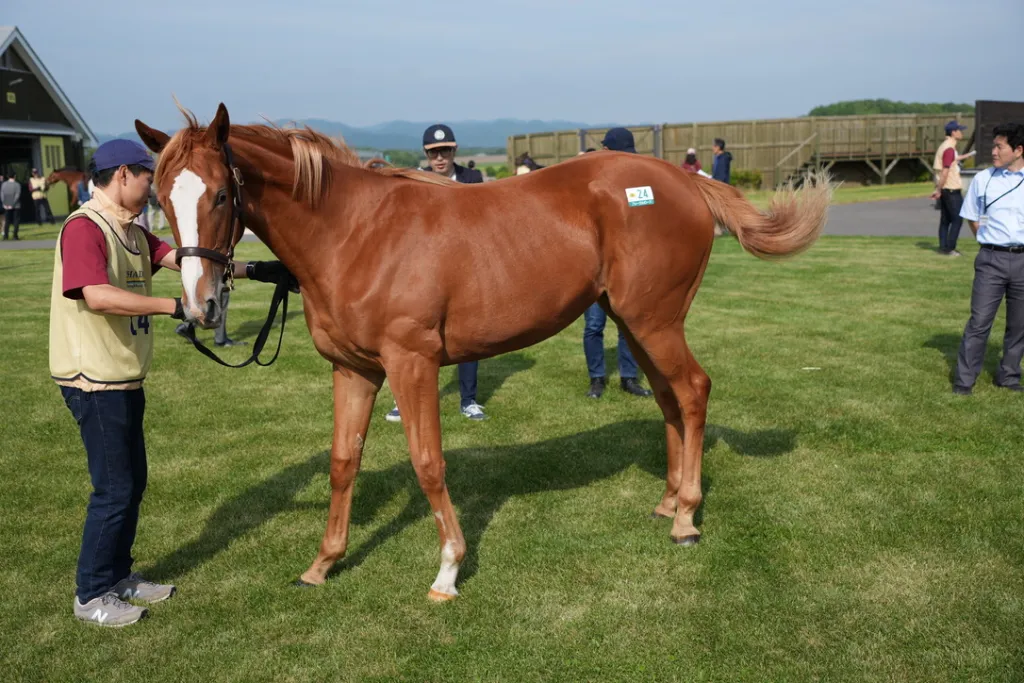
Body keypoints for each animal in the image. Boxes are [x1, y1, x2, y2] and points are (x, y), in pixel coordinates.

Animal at [135, 103, 832, 601]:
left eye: (221, 195)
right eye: (162, 199)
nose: (200, 306)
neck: (355, 232)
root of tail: (678, 181)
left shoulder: (411, 365)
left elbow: (428, 463)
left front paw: (448, 571)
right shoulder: (354, 370)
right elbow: (341, 463)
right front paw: (324, 563)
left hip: (654, 320)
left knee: (692, 390)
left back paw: (686, 517)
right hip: (636, 322)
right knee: (667, 397)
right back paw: (667, 500)